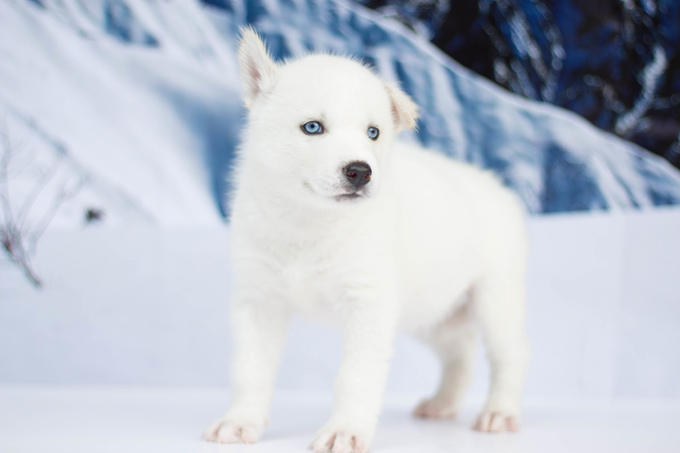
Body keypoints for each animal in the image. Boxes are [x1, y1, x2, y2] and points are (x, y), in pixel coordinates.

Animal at [202, 29, 532, 452]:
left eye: (373, 132)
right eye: (312, 127)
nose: (360, 171)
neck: (309, 223)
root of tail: (498, 188)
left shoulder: (369, 303)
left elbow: (355, 375)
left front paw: (345, 431)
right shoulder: (258, 300)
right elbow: (250, 368)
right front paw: (240, 422)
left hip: (495, 298)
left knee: (510, 355)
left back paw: (500, 412)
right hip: (430, 312)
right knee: (460, 351)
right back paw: (442, 403)